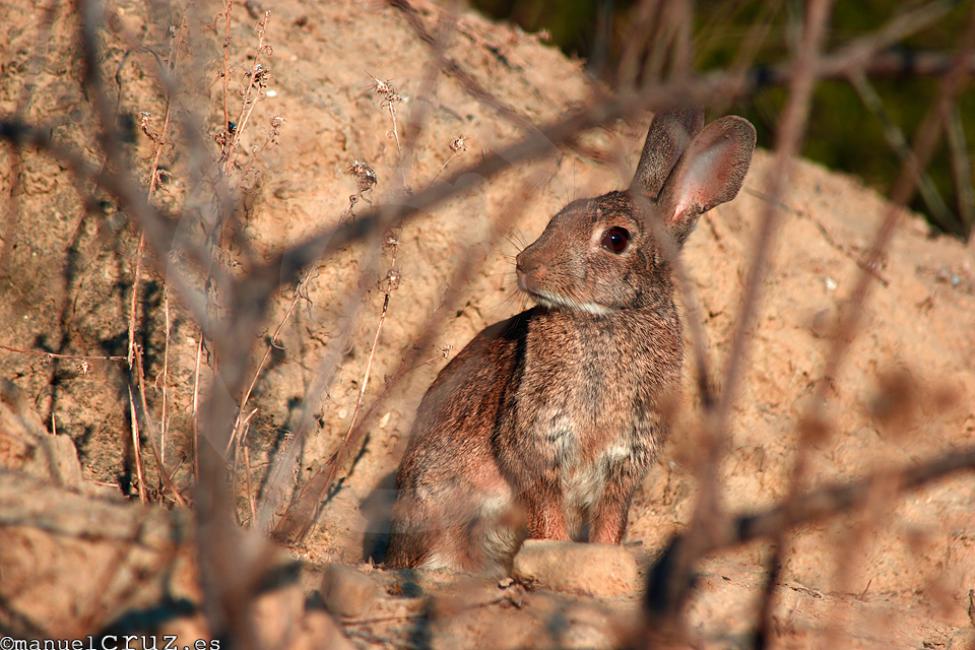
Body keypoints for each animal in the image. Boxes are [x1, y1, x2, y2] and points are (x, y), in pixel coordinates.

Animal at [386, 109, 760, 576]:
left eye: (616, 239)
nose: (526, 263)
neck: (607, 317)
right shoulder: (536, 445)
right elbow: (548, 516)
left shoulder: (623, 463)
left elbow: (608, 522)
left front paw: (603, 557)